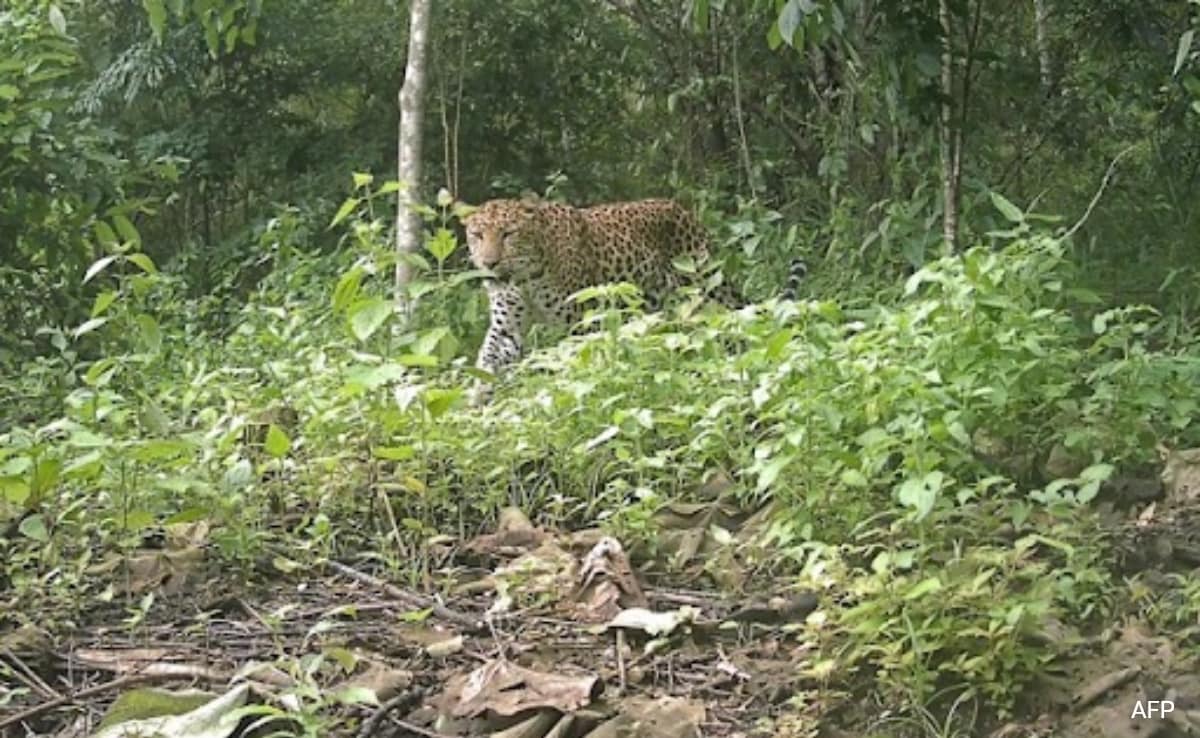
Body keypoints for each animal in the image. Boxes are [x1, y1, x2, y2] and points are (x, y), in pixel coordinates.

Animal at [462, 197, 807, 403]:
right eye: (477, 235)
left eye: (508, 234)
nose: (489, 263)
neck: (525, 278)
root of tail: (684, 210)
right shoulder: (506, 326)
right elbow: (488, 358)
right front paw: (477, 400)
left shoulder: (582, 321)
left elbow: (577, 362)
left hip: (703, 287)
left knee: (730, 319)